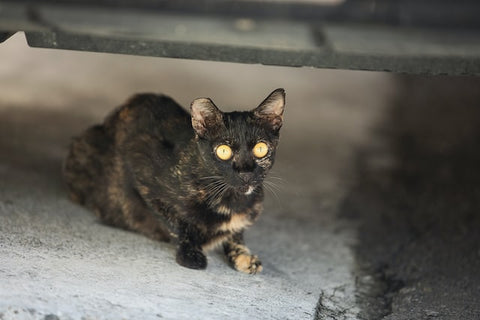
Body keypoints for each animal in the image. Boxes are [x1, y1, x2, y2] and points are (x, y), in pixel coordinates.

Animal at [61, 89, 284, 274]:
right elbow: (176, 222)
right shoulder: (139, 163)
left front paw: (243, 256)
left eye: (261, 149)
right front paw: (191, 253)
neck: (231, 200)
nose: (245, 171)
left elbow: (236, 232)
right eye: (223, 151)